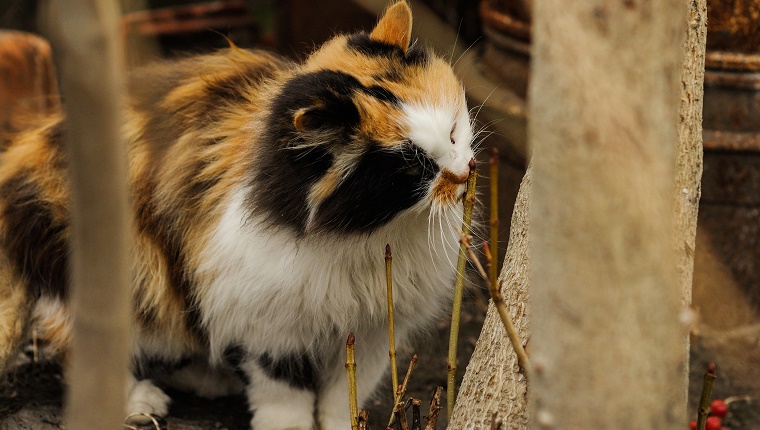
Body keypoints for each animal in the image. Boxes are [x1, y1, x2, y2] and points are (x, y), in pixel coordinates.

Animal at [0, 1, 476, 428]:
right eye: (413, 169)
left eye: (454, 132)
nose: (462, 174)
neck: (372, 235)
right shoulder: (265, 321)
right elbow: (284, 392)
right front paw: (288, 427)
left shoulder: (374, 330)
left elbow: (344, 395)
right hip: (131, 272)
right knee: (82, 339)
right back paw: (138, 402)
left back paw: (211, 379)